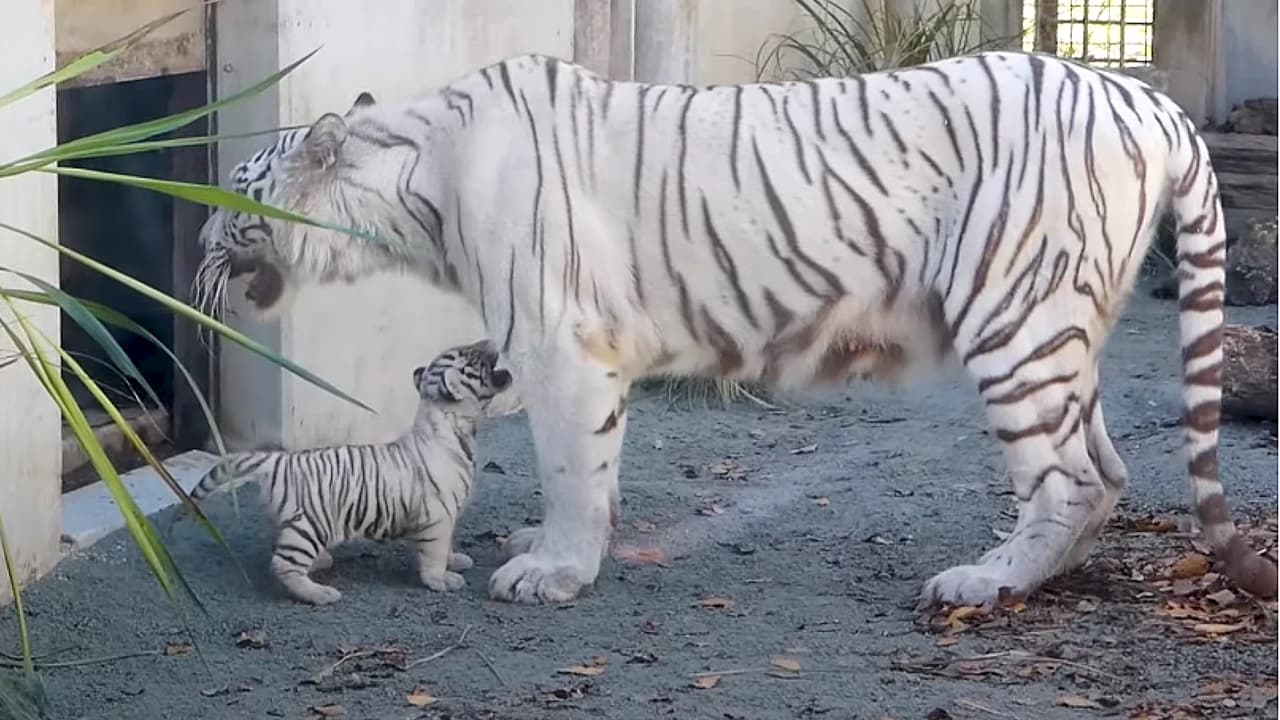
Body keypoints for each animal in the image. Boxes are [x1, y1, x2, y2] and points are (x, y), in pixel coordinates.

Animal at [194, 49, 1274, 604]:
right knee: (1105, 471)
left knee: (1069, 477)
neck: (414, 182)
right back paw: (1047, 571)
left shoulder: (558, 343)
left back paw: (983, 581)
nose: (193, 233)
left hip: (1015, 317)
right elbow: (587, 466)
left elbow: (567, 467)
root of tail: (1145, 95)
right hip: (1060, 326)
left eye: (234, 190)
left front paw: (551, 572)